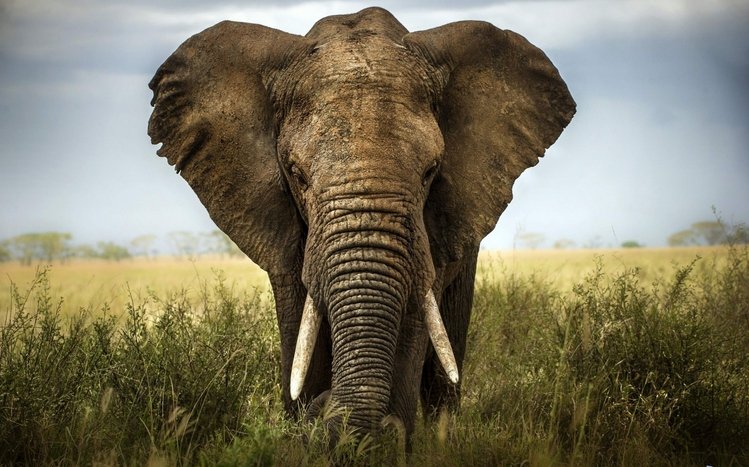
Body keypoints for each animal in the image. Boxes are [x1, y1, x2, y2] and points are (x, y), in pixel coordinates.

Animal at [148, 7, 574, 440]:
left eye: (430, 172)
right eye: (297, 175)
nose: (324, 410)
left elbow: (413, 320)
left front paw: (385, 438)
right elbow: (300, 327)